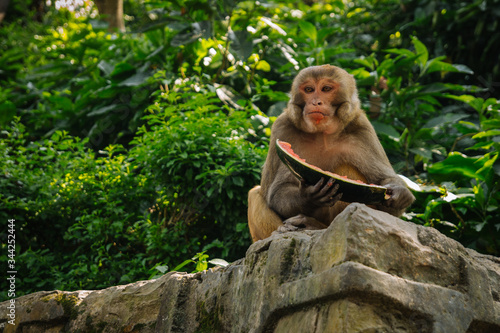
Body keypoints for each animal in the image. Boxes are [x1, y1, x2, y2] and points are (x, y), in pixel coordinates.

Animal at [248, 64, 416, 241]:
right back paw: (285, 229)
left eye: (326, 89)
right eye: (309, 89)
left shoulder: (362, 129)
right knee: (254, 194)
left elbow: (383, 183)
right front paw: (308, 196)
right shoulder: (282, 128)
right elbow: (278, 190)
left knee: (346, 169)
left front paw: (399, 193)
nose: (316, 101)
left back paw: (314, 225)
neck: (322, 134)